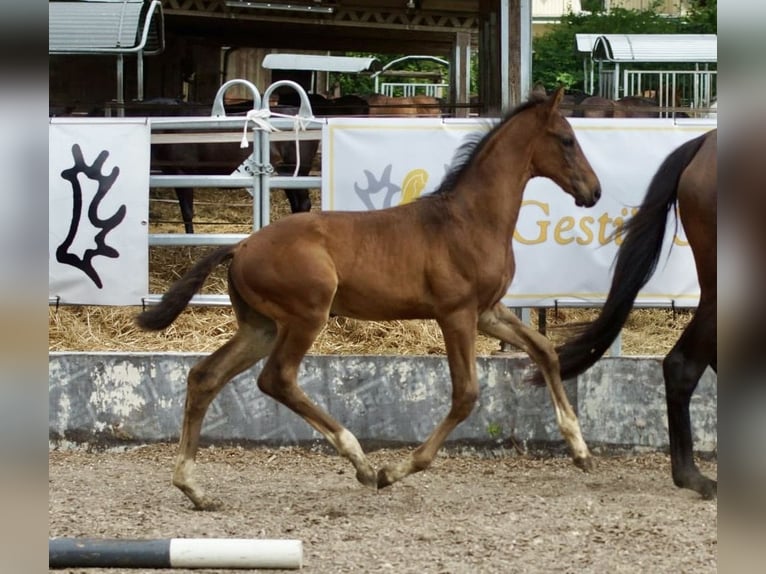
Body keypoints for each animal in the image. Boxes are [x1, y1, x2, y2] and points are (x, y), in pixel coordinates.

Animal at [138, 88, 608, 510]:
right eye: (567, 139)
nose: (595, 191)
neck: (468, 219)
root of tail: (240, 246)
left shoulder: (487, 311)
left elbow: (545, 350)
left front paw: (581, 451)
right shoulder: (456, 314)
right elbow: (466, 395)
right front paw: (395, 470)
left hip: (261, 326)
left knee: (205, 376)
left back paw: (193, 488)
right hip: (305, 316)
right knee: (277, 379)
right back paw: (362, 463)